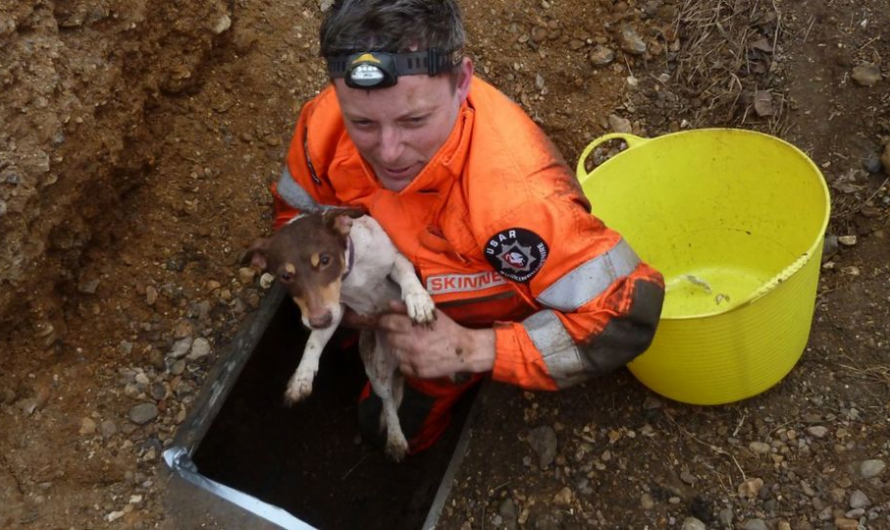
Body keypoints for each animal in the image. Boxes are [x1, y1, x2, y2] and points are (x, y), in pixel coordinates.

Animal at [245, 209, 436, 458]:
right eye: (285, 276)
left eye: (325, 260)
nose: (318, 321)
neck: (352, 275)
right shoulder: (335, 308)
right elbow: (314, 342)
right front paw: (302, 376)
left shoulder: (395, 259)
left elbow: (406, 274)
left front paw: (418, 301)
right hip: (377, 369)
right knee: (387, 401)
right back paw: (395, 438)